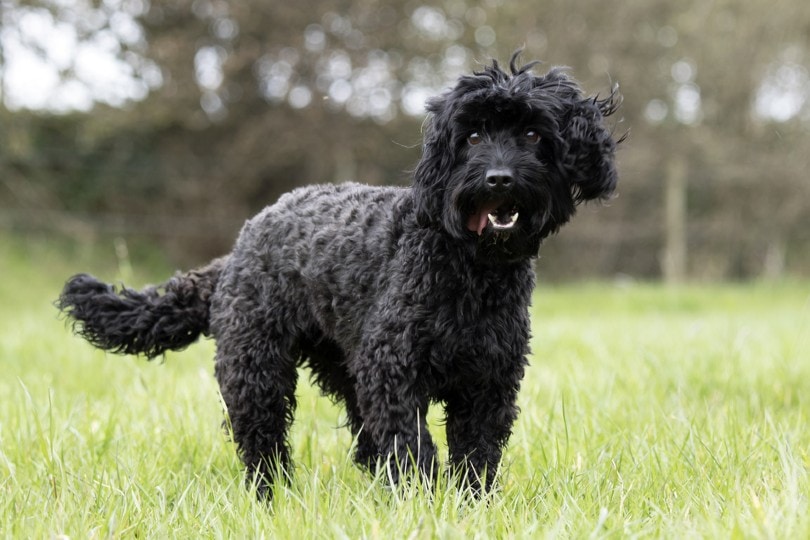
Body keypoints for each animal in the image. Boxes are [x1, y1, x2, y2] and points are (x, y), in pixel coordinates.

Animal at [58, 52, 620, 500]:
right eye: (474, 134)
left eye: (532, 133)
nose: (498, 179)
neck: (468, 268)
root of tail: (243, 241)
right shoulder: (394, 371)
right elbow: (411, 444)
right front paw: (421, 500)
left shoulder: (488, 382)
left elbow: (476, 454)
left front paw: (470, 505)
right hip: (255, 370)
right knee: (262, 440)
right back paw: (272, 496)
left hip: (344, 368)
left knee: (364, 444)